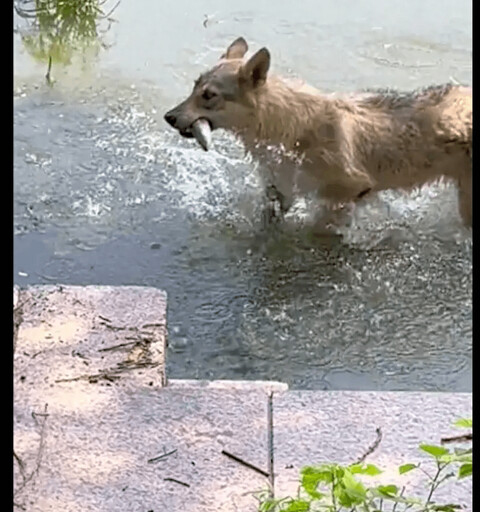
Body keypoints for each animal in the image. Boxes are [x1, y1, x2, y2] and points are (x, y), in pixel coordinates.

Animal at [165, 36, 472, 228]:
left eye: (208, 95)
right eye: (194, 87)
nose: (169, 117)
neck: (286, 127)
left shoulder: (348, 189)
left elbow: (323, 224)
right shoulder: (278, 189)